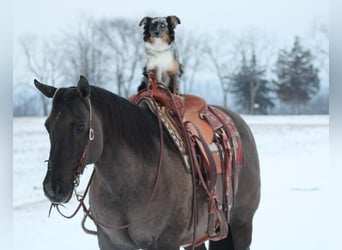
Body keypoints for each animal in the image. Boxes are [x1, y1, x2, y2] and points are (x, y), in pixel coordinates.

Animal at [34, 76, 260, 250]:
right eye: (47, 126)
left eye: (80, 126)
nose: (52, 188)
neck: (128, 185)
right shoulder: (110, 242)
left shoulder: (166, 241)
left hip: (242, 222)